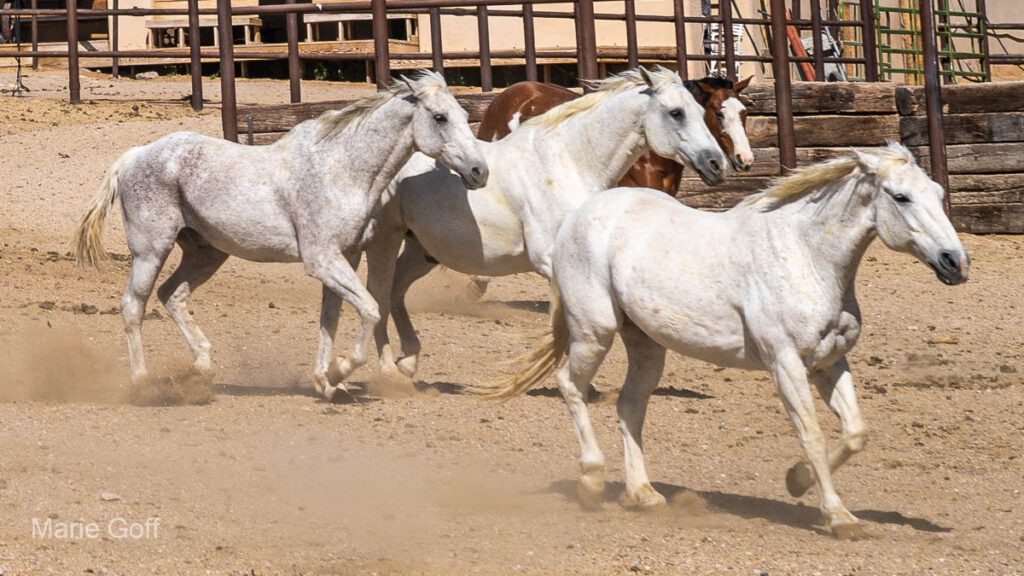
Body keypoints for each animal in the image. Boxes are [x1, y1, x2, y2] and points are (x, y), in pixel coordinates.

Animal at [73, 71, 488, 402]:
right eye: (440, 117)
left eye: (466, 116)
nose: (479, 171)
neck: (342, 170)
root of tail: (136, 155)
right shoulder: (323, 260)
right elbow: (370, 309)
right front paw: (340, 370)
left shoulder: (344, 258)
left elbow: (330, 318)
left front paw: (326, 382)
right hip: (151, 251)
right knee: (134, 305)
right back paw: (143, 384)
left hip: (206, 253)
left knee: (172, 295)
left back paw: (203, 366)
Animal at [366, 66, 727, 381]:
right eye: (676, 112)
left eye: (702, 111)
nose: (717, 163)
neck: (570, 162)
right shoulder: (551, 261)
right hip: (383, 241)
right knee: (377, 294)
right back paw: (386, 369)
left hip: (422, 251)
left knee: (395, 292)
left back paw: (408, 361)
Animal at [477, 144, 969, 539]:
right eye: (901, 197)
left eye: (939, 194)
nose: (956, 263)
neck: (806, 256)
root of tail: (580, 217)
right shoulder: (785, 363)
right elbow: (810, 434)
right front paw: (838, 517)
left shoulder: (830, 362)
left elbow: (855, 432)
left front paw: (797, 481)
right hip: (593, 331)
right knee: (571, 386)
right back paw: (592, 483)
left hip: (647, 345)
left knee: (629, 407)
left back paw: (643, 494)